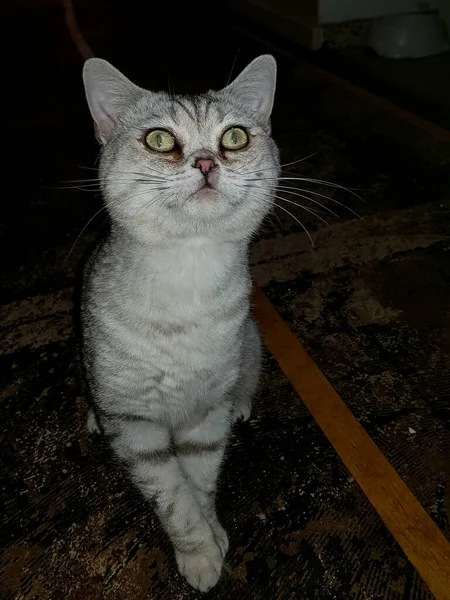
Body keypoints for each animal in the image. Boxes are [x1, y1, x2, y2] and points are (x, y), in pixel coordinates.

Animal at [79, 55, 280, 592]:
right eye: (158, 139)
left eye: (235, 137)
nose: (207, 162)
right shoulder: (136, 429)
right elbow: (173, 499)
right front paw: (200, 553)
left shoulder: (204, 414)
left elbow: (199, 483)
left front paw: (212, 533)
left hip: (249, 345)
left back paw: (242, 402)